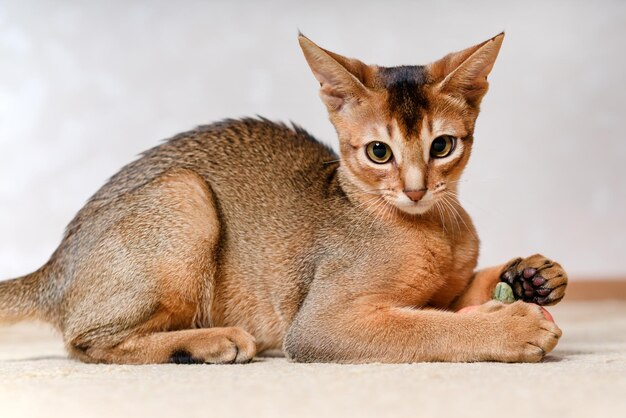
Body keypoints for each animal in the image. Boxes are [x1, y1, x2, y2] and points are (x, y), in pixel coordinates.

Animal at [1, 32, 564, 364]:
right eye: (379, 152)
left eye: (442, 146)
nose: (415, 189)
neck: (433, 229)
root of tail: (54, 267)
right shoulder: (320, 324)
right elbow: (427, 328)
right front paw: (511, 328)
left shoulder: (446, 290)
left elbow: (458, 296)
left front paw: (533, 275)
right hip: (186, 193)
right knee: (85, 342)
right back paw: (211, 342)